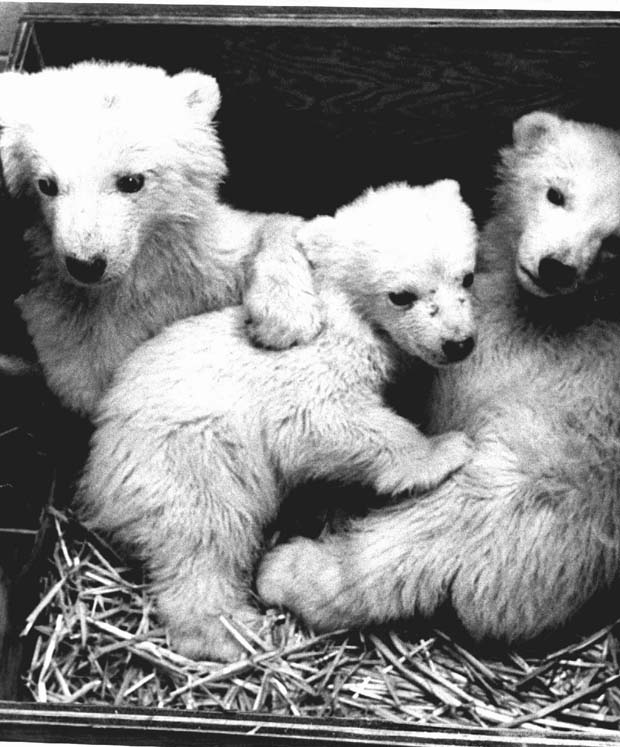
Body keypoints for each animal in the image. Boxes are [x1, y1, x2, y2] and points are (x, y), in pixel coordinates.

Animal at [0, 61, 321, 417]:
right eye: (46, 184)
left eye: (131, 180)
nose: (86, 264)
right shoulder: (58, 314)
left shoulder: (196, 269)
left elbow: (274, 227)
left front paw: (282, 319)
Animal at [77, 179, 478, 662]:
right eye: (401, 295)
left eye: (467, 276)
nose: (458, 343)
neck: (341, 310)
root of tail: (96, 474)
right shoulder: (312, 366)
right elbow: (325, 421)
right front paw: (443, 450)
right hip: (187, 459)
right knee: (205, 535)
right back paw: (228, 631)